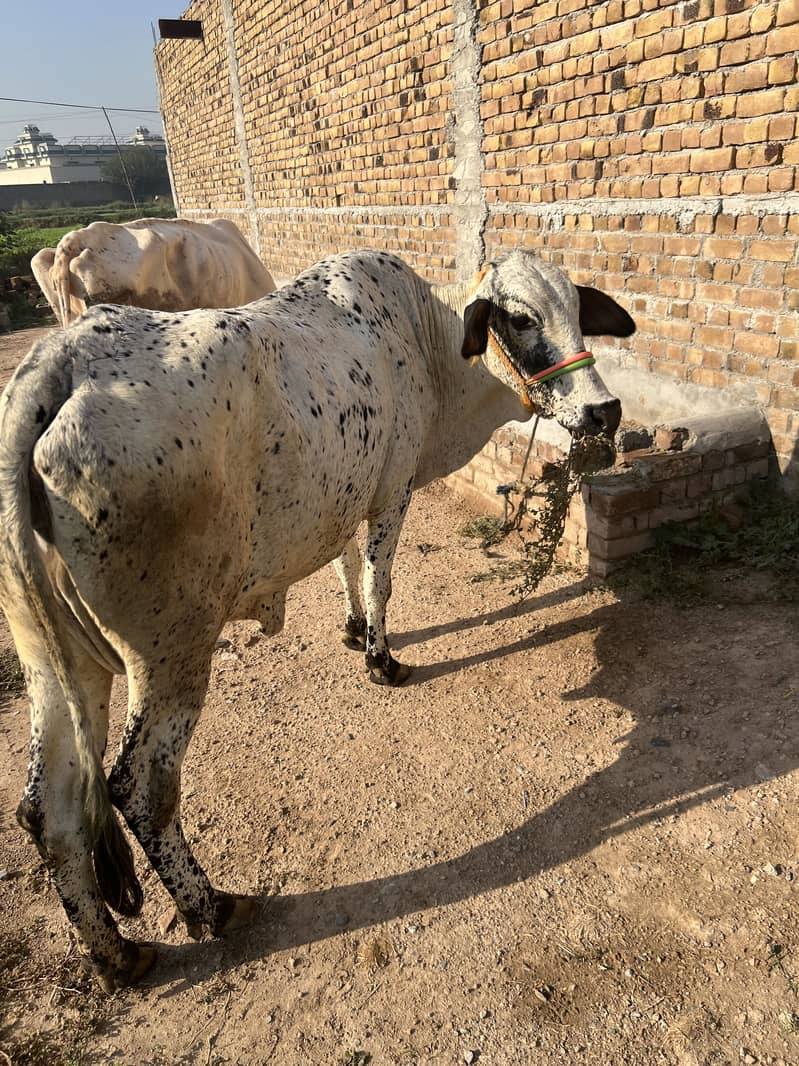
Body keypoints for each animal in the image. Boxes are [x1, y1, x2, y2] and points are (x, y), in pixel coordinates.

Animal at [0, 249, 633, 992]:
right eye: (521, 318)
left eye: (577, 307)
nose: (604, 410)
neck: (427, 336)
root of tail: (59, 361)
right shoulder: (390, 490)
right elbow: (378, 576)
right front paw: (381, 659)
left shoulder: (345, 497)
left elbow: (343, 565)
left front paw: (353, 631)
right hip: (169, 654)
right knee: (139, 787)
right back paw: (211, 907)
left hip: (57, 664)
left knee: (52, 812)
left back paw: (117, 955)